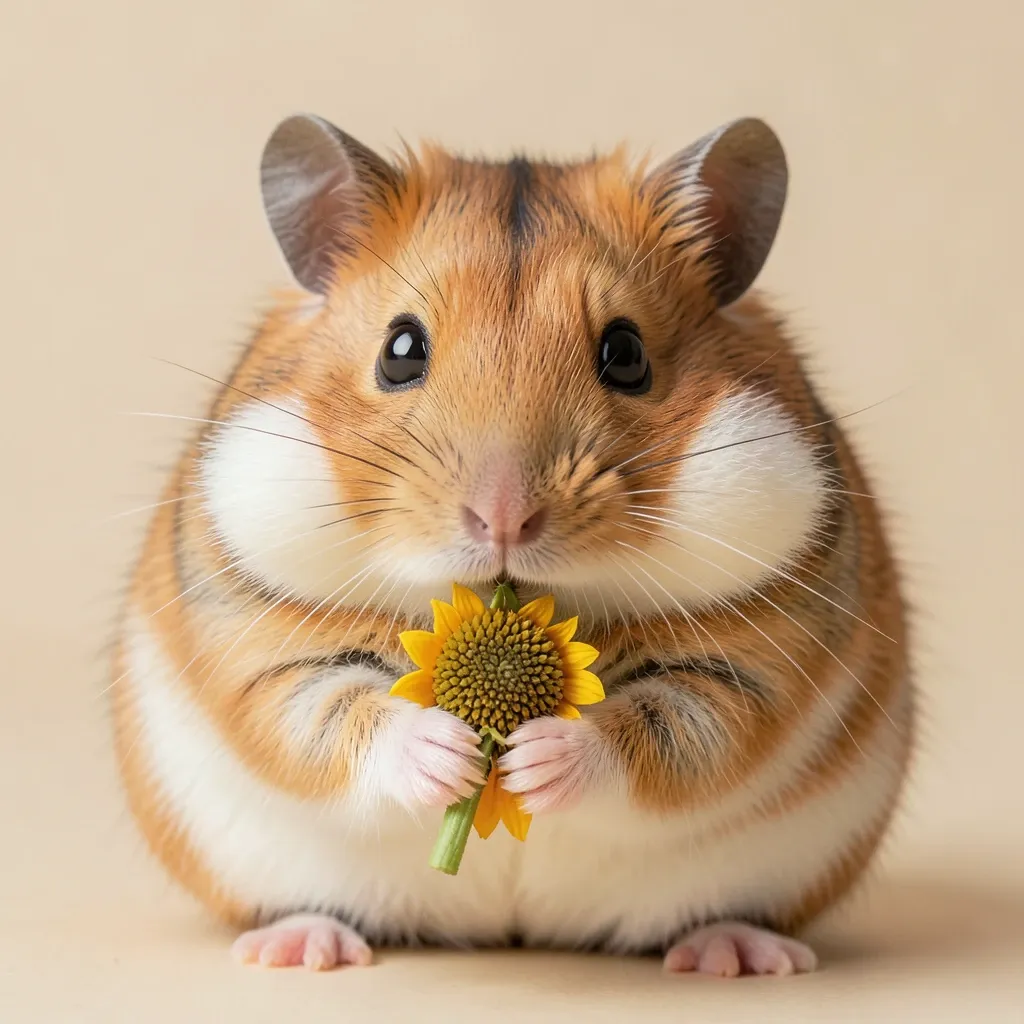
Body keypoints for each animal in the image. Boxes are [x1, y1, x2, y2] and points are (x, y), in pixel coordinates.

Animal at [111, 113, 912, 976]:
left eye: (626, 353)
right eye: (400, 350)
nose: (503, 521)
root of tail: (515, 931)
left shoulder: (749, 669)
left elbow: (656, 733)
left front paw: (537, 759)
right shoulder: (260, 646)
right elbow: (339, 712)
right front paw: (448, 754)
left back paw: (736, 956)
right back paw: (300, 949)